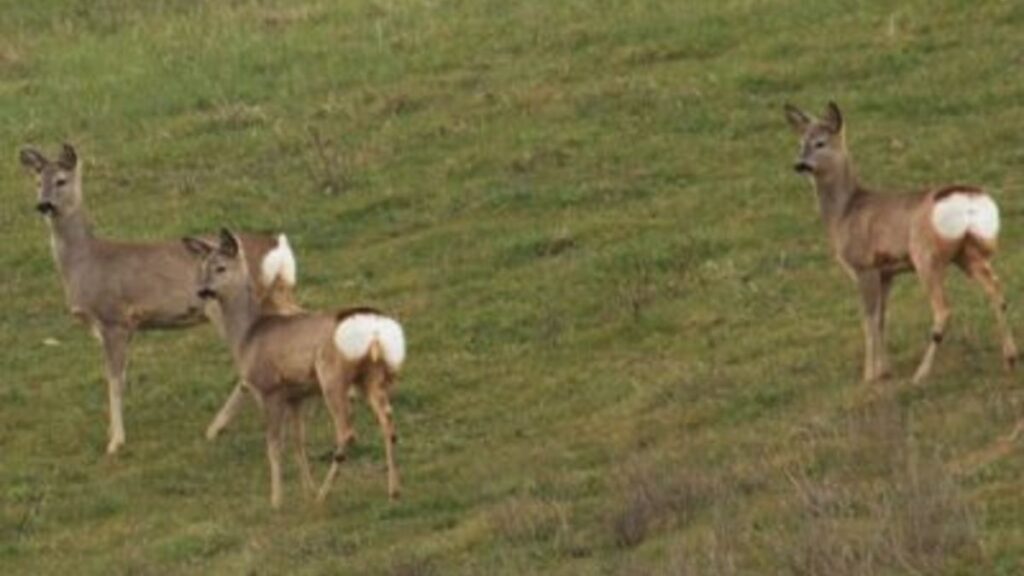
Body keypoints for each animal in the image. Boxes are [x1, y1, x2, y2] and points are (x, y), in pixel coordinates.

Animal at [19, 142, 301, 453]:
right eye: (37, 182)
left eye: (61, 180)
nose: (44, 204)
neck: (86, 262)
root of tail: (278, 249)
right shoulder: (119, 326)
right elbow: (118, 376)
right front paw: (111, 432)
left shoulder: (114, 317)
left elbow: (114, 379)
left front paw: (115, 442)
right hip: (276, 294)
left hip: (226, 304)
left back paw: (215, 427)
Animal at [190, 226, 405, 504]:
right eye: (203, 266)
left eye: (221, 267)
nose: (202, 291)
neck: (247, 336)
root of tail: (376, 331)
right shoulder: (296, 395)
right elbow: (298, 441)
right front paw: (306, 489)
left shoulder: (269, 388)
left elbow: (273, 445)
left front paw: (277, 500)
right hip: (372, 376)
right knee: (388, 424)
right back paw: (393, 490)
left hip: (332, 376)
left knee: (347, 432)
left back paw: (324, 495)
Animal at [782, 101, 1015, 381]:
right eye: (800, 142)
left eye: (820, 143)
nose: (799, 164)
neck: (844, 212)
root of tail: (969, 200)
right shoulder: (886, 272)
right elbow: (883, 318)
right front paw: (884, 370)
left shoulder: (864, 265)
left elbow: (869, 319)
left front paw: (869, 375)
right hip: (967, 252)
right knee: (996, 290)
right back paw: (1011, 357)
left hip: (925, 255)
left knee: (943, 309)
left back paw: (921, 374)